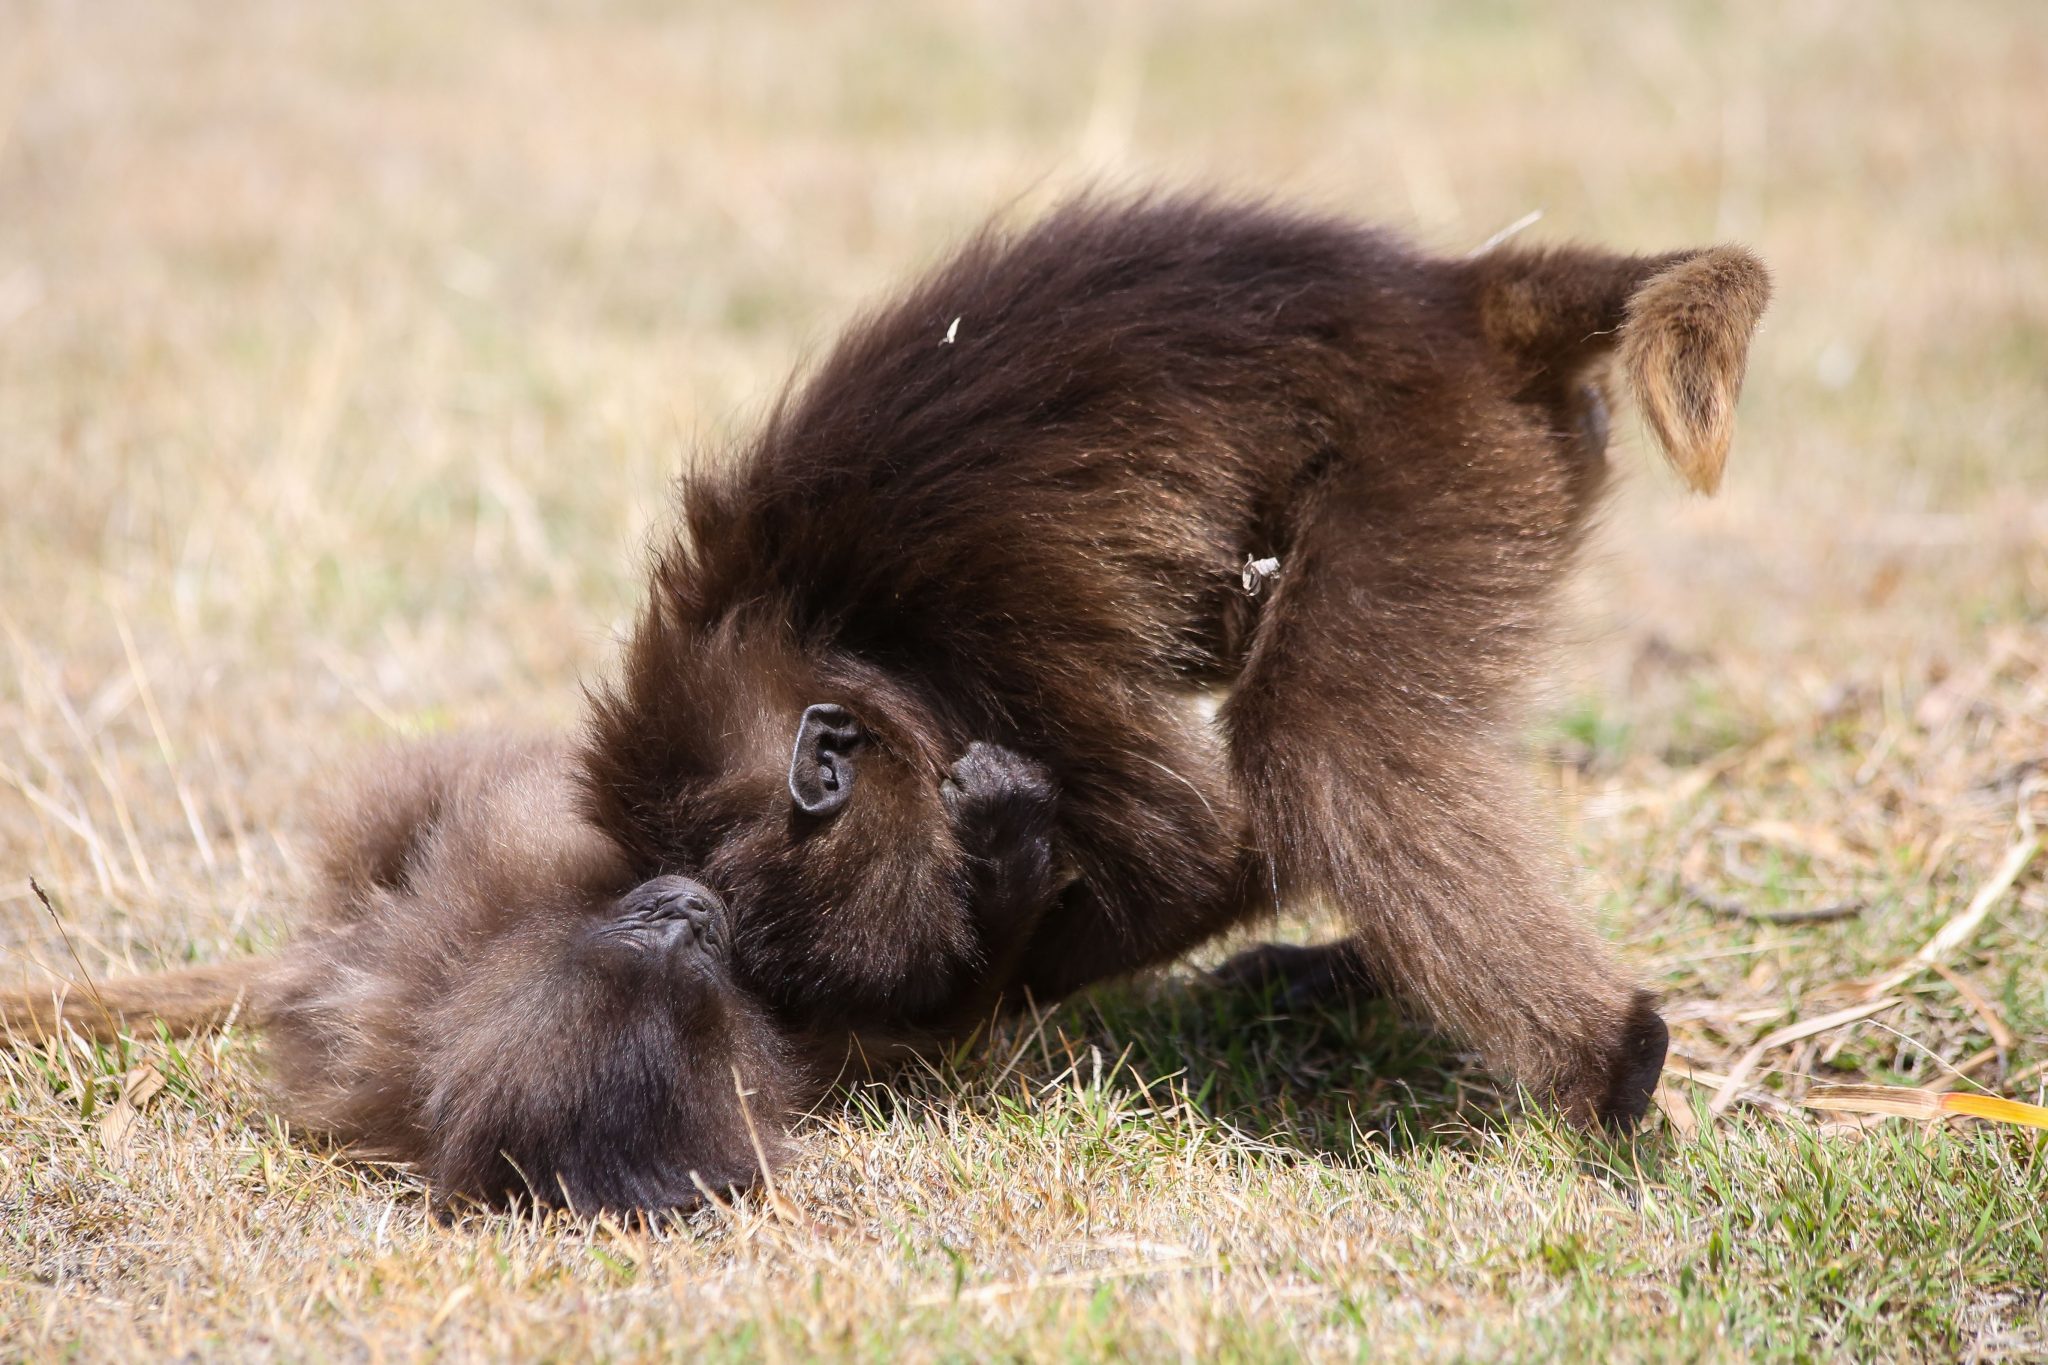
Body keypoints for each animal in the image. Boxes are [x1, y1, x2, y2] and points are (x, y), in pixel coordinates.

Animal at [579, 191, 1770, 1133]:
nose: (926, 1018)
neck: (810, 617)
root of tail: (1450, 300)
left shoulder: (1011, 639)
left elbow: (1211, 853)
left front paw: (1008, 952)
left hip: (1442, 460)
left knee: (1323, 739)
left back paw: (1618, 1059)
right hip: (1531, 466)